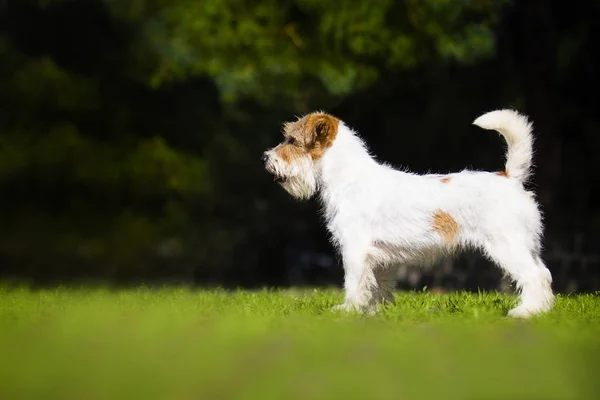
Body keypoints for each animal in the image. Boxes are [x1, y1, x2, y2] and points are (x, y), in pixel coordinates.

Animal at [264, 108, 556, 318]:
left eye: (291, 140)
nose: (265, 158)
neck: (349, 178)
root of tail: (509, 177)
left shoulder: (355, 251)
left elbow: (354, 283)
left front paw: (348, 311)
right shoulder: (379, 260)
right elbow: (377, 287)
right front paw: (373, 314)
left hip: (507, 247)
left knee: (534, 276)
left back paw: (525, 312)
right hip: (527, 246)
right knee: (545, 274)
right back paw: (544, 310)